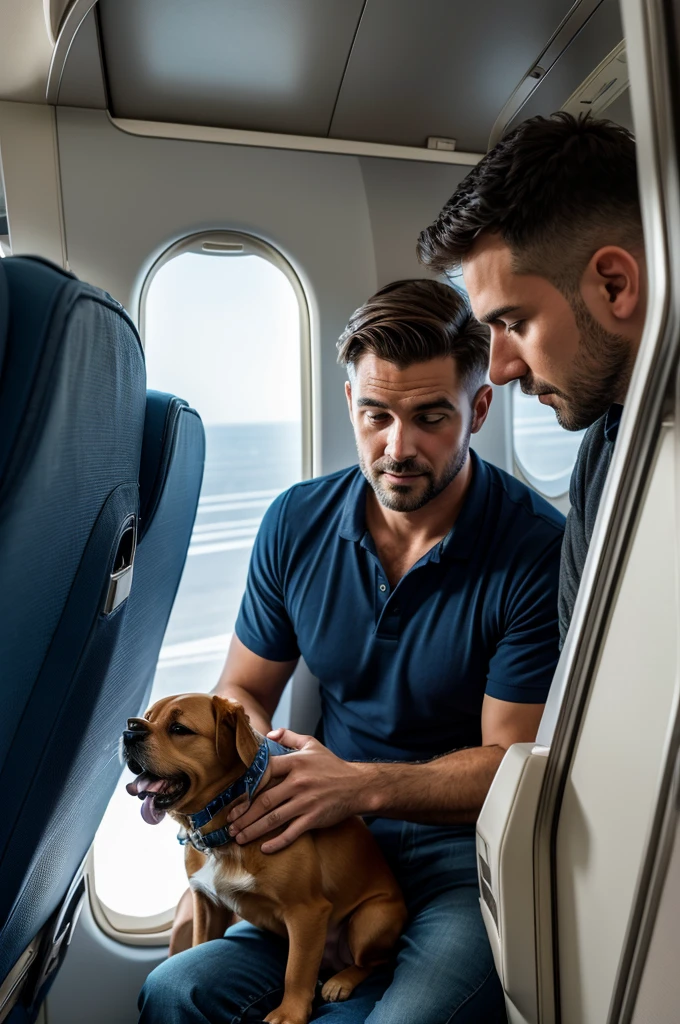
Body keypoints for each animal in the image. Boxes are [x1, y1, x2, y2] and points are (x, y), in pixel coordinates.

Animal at [123, 696, 403, 1024]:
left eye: (179, 728)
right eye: (146, 717)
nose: (130, 731)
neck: (221, 830)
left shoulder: (307, 912)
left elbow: (296, 971)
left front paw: (289, 1013)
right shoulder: (207, 905)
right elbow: (200, 941)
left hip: (370, 920)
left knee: (375, 961)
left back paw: (341, 981)